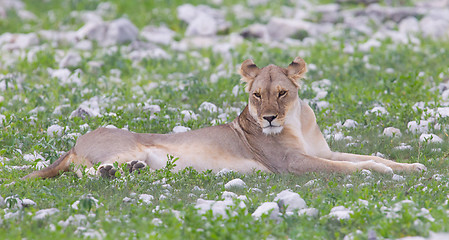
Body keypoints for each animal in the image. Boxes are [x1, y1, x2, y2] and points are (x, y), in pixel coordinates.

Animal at [22, 57, 426, 179]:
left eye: (282, 92)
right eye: (256, 95)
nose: (268, 119)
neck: (296, 121)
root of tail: (76, 140)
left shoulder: (322, 152)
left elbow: (368, 155)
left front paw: (410, 166)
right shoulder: (292, 163)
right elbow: (350, 167)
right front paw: (378, 171)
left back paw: (131, 171)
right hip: (117, 149)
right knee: (83, 174)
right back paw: (108, 172)